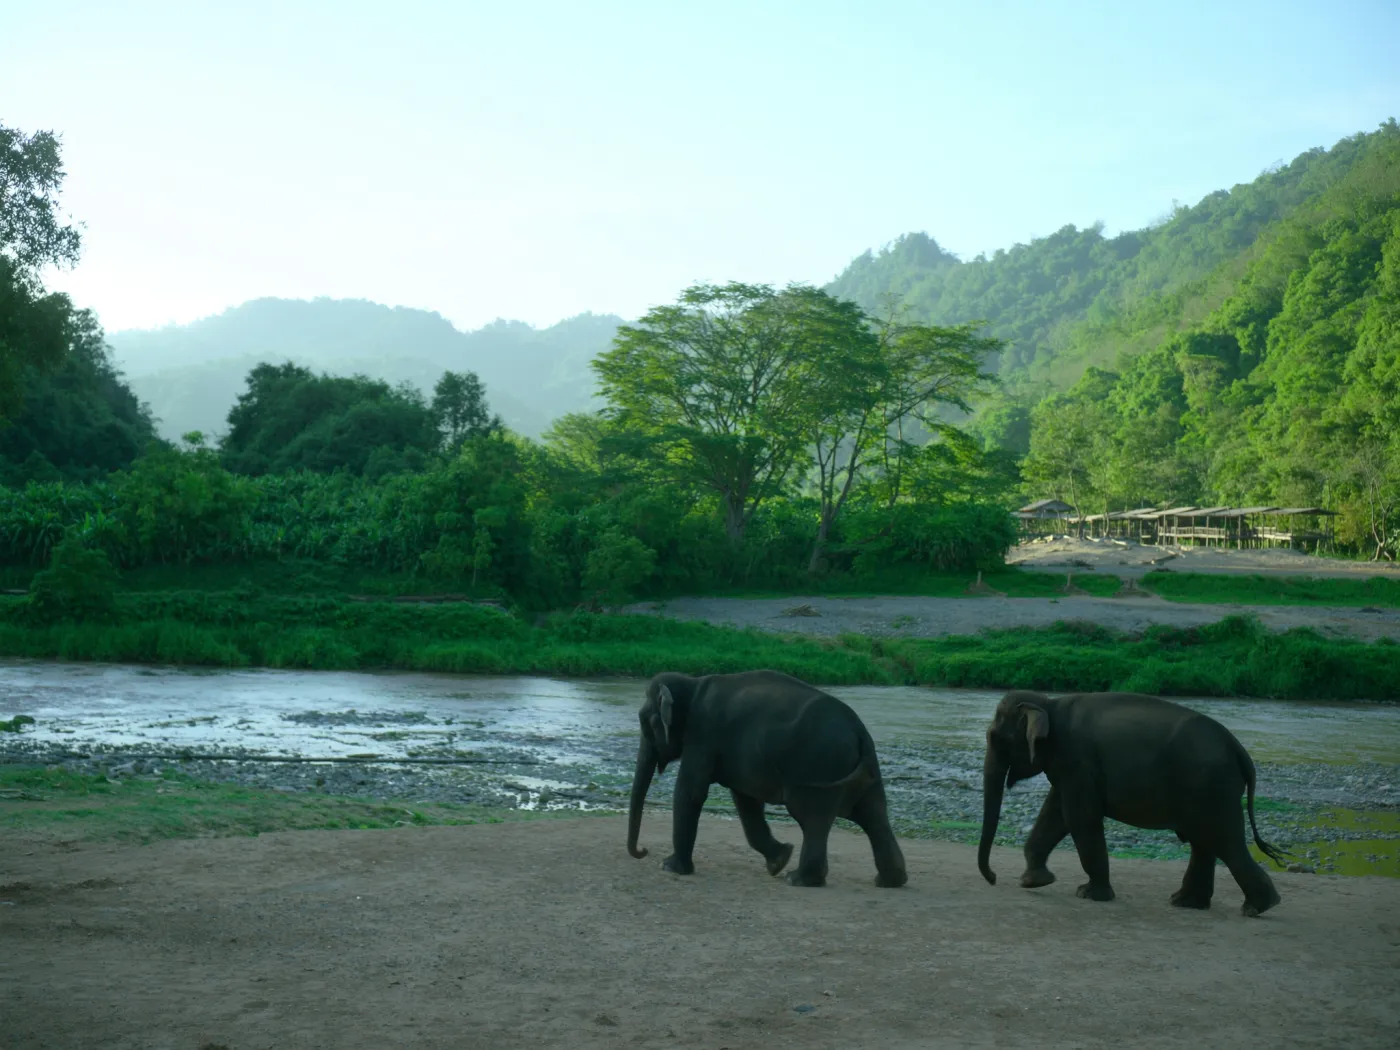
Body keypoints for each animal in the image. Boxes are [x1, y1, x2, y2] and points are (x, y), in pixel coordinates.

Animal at [625, 670, 907, 888]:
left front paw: (670, 867)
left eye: (645, 722)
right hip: (860, 770)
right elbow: (745, 801)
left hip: (819, 765)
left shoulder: (702, 735)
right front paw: (779, 860)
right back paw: (889, 881)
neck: (692, 683)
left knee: (814, 817)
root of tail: (860, 731)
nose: (643, 851)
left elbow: (690, 791)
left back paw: (799, 880)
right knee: (874, 815)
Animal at [977, 690, 1288, 916]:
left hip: (1212, 786)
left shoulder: (1076, 759)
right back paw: (1186, 902)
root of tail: (1240, 750)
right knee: (1205, 841)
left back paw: (1257, 907)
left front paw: (1089, 894)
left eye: (995, 738)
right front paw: (1034, 881)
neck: (1048, 705)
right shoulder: (1069, 768)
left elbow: (1079, 816)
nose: (993, 878)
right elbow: (1055, 813)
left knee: (1224, 840)